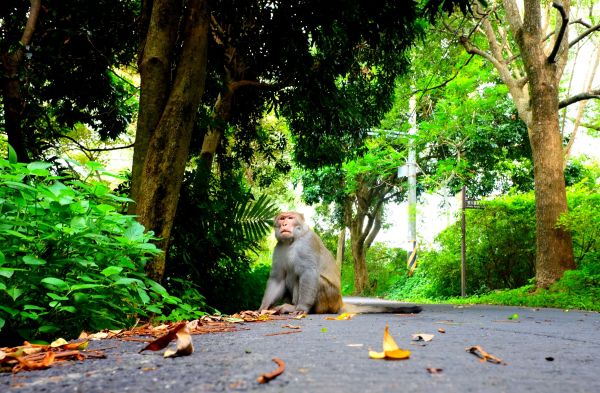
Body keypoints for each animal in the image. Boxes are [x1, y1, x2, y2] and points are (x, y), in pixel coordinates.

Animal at [258, 211, 422, 316]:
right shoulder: (279, 247)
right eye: (281, 218)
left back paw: (296, 308)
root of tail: (340, 303)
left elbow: (309, 273)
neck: (292, 241)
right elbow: (278, 278)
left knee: (311, 279)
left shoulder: (307, 243)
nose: (284, 223)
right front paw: (263, 308)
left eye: (290, 218)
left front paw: (302, 308)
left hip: (331, 299)